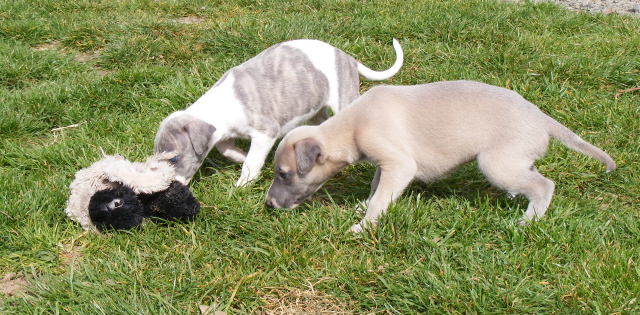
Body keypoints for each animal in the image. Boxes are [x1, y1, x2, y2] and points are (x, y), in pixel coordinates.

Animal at [154, 39, 402, 188]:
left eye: (174, 158)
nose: (169, 187)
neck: (218, 105)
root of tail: (347, 58)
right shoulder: (223, 134)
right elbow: (226, 149)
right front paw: (240, 157)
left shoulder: (265, 132)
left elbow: (253, 160)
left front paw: (244, 183)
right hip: (316, 107)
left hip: (343, 98)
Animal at [264, 80, 616, 233]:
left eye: (283, 174)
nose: (268, 205)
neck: (351, 126)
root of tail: (541, 118)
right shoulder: (387, 162)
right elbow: (376, 187)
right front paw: (363, 206)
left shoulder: (399, 164)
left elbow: (382, 198)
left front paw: (364, 226)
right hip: (515, 162)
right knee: (531, 179)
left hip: (495, 164)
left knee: (545, 186)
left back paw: (526, 221)